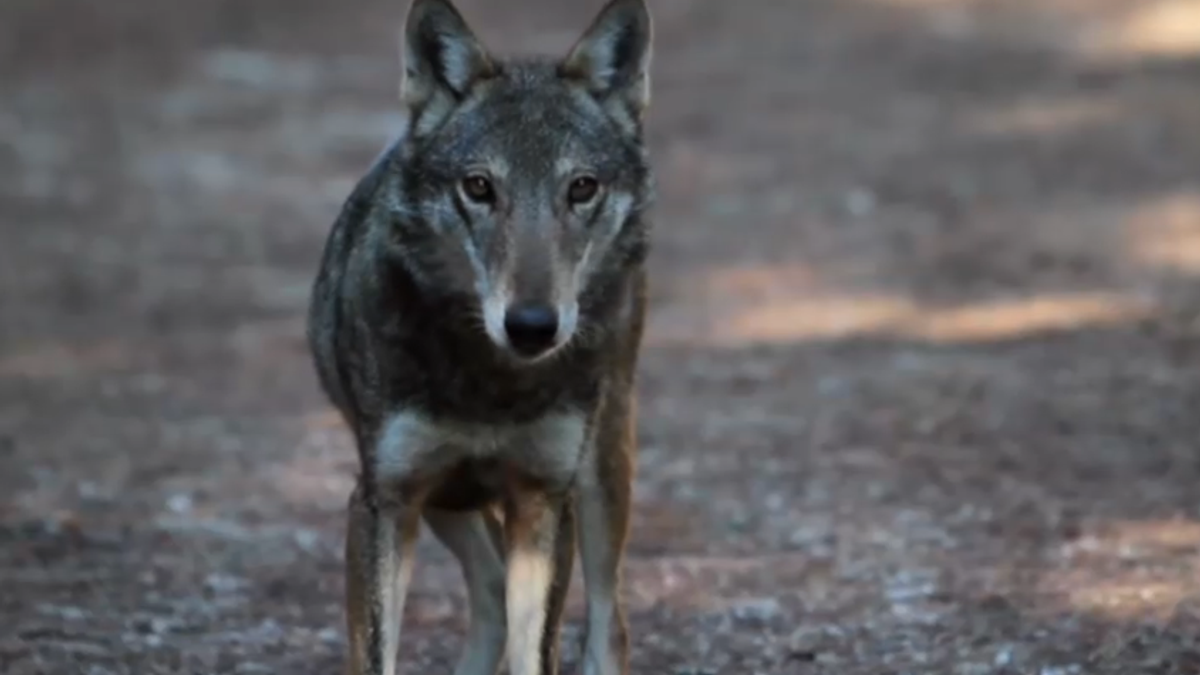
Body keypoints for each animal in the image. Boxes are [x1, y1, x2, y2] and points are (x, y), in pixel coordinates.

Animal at [304, 0, 655, 673]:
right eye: (479, 187)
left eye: (581, 187)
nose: (532, 326)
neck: (489, 384)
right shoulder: (384, 500)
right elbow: (379, 653)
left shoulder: (544, 500)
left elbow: (536, 652)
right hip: (450, 501)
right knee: (490, 588)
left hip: (599, 474)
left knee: (611, 626)